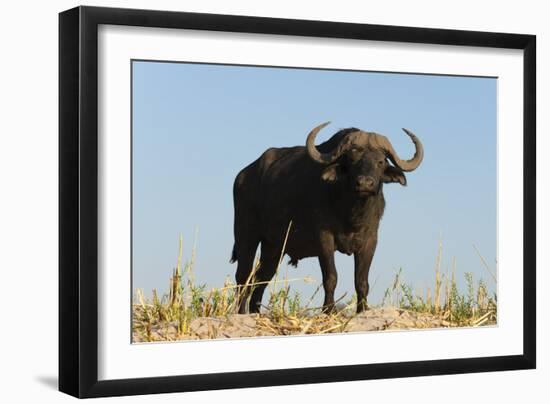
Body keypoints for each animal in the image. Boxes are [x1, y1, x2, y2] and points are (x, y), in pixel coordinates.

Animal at [231, 121, 424, 314]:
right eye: (352, 159)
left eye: (381, 161)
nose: (364, 183)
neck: (351, 212)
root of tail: (243, 176)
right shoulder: (324, 238)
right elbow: (331, 277)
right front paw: (328, 309)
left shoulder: (370, 240)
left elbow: (362, 281)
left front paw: (362, 310)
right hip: (246, 236)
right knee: (243, 276)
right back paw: (241, 312)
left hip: (274, 247)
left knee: (261, 279)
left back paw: (255, 312)